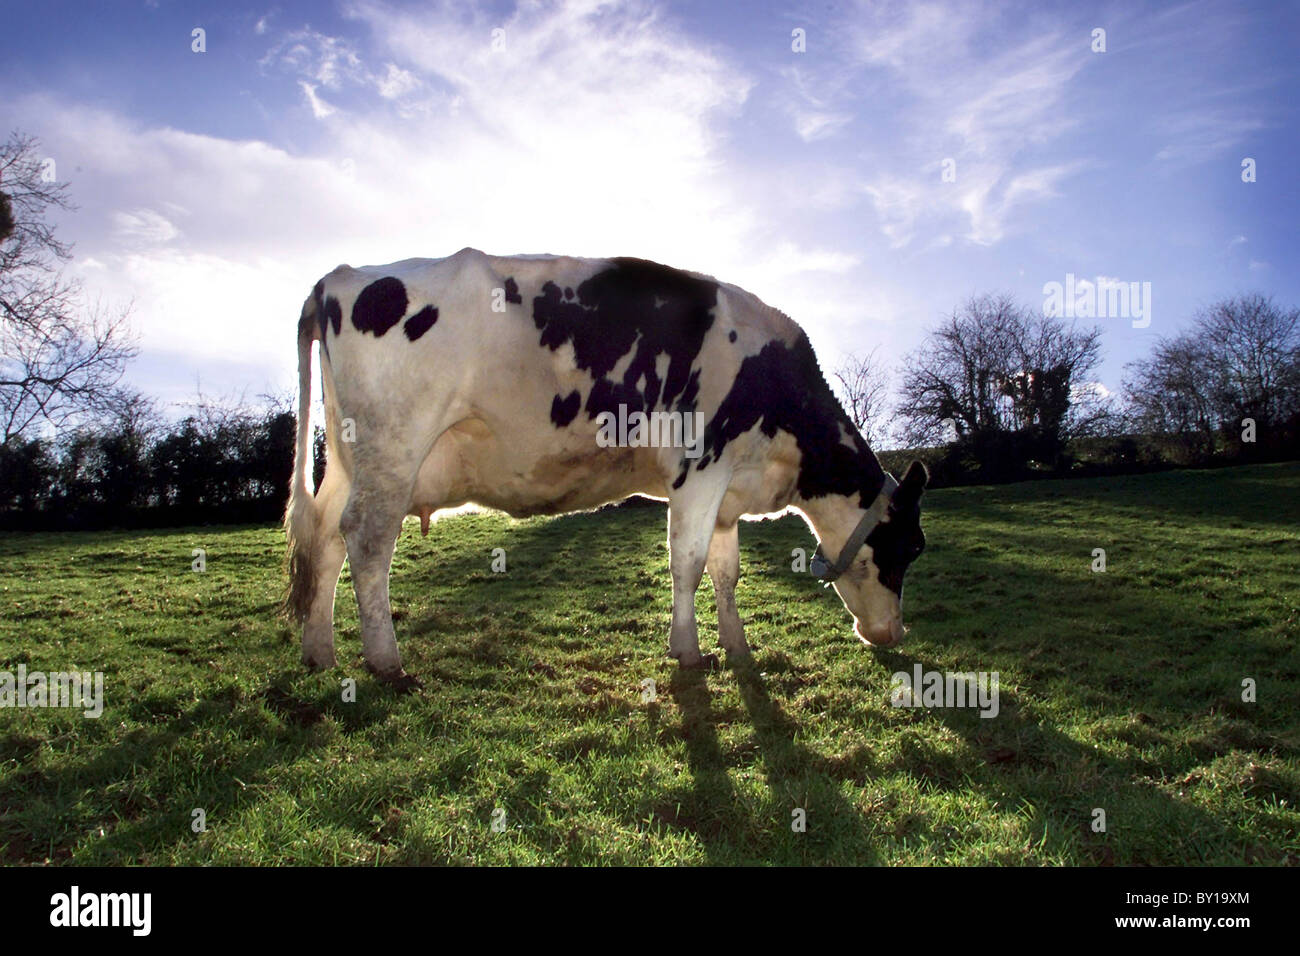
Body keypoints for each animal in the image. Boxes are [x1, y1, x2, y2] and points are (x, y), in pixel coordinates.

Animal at [285, 248, 927, 689]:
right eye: (910, 546)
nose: (894, 633)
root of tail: (338, 278)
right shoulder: (700, 467)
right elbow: (688, 563)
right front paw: (688, 650)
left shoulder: (727, 491)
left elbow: (726, 571)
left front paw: (738, 647)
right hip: (393, 448)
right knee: (367, 540)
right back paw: (386, 663)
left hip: (350, 457)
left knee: (324, 534)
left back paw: (320, 653)